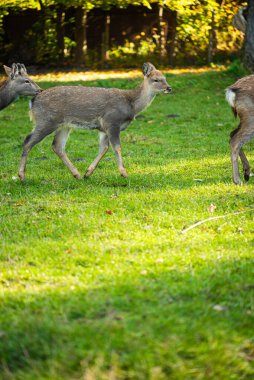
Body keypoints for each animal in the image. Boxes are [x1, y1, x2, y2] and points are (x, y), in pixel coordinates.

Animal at [18, 62, 172, 181]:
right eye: (156, 80)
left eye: (165, 78)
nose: (169, 88)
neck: (131, 104)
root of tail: (32, 102)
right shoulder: (112, 121)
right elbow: (117, 147)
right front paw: (124, 173)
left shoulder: (104, 128)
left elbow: (104, 148)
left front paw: (88, 172)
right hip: (46, 120)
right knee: (28, 141)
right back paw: (21, 176)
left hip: (63, 125)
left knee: (57, 146)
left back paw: (77, 175)